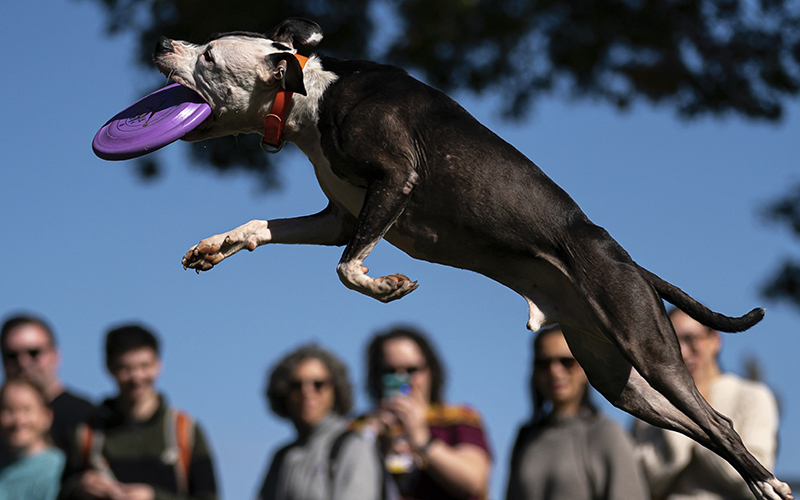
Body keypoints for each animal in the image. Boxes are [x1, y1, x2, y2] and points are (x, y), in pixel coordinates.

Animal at [156, 17, 792, 498]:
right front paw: (214, 247)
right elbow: (261, 228)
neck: (314, 90)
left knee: (720, 423)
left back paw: (768, 483)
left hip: (647, 345)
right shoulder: (337, 217)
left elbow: (347, 268)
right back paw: (756, 482)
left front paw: (389, 286)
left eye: (209, 55)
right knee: (695, 428)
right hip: (619, 381)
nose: (163, 43)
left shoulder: (394, 182)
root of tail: (632, 264)